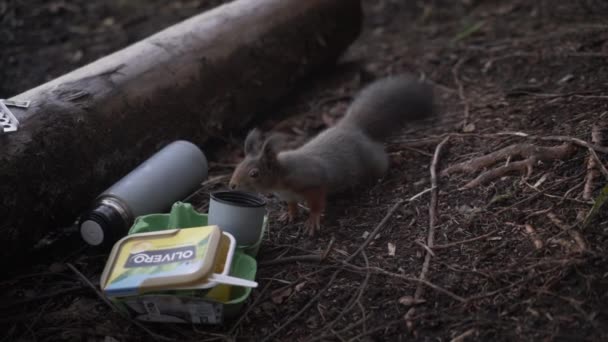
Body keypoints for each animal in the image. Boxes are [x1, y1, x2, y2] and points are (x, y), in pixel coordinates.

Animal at [229, 74, 436, 235]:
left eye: (254, 173)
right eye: (237, 167)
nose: (232, 185)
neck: (281, 178)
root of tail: (352, 128)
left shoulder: (312, 182)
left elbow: (317, 203)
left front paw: (312, 221)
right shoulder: (289, 196)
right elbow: (292, 205)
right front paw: (289, 214)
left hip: (372, 161)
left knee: (382, 163)